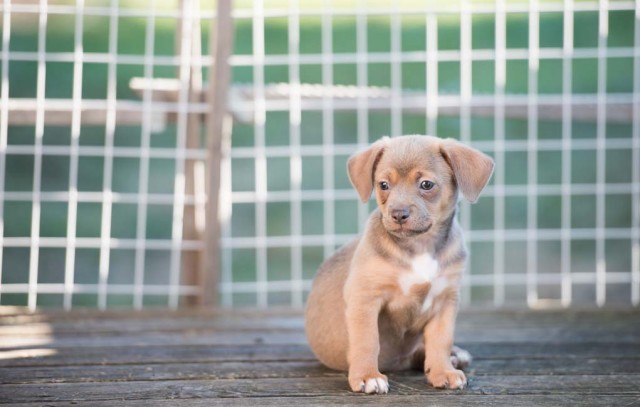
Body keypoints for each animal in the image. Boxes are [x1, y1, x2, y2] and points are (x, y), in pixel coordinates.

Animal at [304, 135, 496, 396]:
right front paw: (368, 376)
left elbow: (441, 340)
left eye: (426, 184)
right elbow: (367, 341)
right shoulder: (365, 298)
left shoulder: (445, 300)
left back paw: (454, 357)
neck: (419, 246)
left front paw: (443, 372)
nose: (397, 214)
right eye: (383, 185)